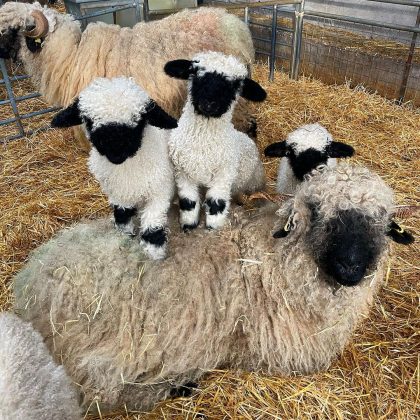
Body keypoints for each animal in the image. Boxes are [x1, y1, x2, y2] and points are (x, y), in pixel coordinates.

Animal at [13, 163, 414, 414]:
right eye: (315, 210)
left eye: (381, 219)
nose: (351, 267)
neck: (274, 259)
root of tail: (30, 280)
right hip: (102, 350)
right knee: (101, 392)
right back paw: (177, 386)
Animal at [51, 76, 178, 260]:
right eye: (89, 121)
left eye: (139, 121)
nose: (116, 153)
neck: (126, 170)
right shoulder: (117, 194)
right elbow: (122, 215)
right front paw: (124, 234)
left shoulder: (159, 192)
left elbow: (152, 223)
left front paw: (154, 251)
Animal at [164, 51, 266, 233]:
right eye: (195, 72)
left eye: (235, 85)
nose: (210, 102)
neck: (203, 144)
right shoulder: (183, 172)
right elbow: (188, 202)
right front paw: (188, 225)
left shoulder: (224, 174)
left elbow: (216, 203)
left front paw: (213, 228)